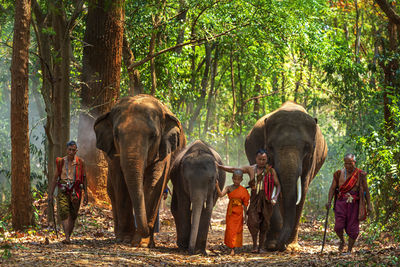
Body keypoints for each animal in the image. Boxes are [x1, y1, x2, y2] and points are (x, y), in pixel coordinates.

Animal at [94, 94, 186, 247]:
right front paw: (126, 239)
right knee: (112, 192)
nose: (146, 230)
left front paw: (141, 242)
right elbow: (121, 184)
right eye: (116, 135)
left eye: (153, 136)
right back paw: (119, 236)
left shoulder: (164, 151)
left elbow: (155, 182)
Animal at [244, 101, 328, 252]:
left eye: (308, 147)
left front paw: (292, 247)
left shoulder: (311, 161)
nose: (280, 246)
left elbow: (303, 189)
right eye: (270, 147)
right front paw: (272, 245)